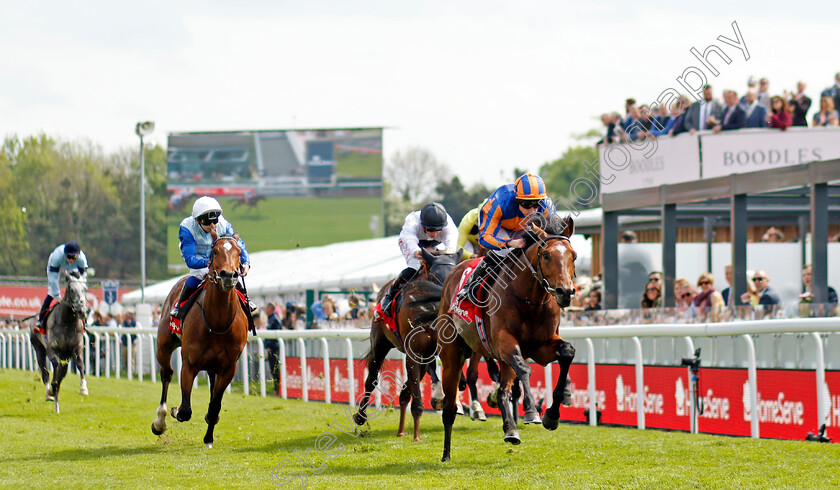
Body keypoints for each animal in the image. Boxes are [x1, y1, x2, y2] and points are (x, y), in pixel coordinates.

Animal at [28, 272, 88, 414]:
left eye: (85, 289)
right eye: (72, 290)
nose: (82, 311)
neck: (67, 323)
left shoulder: (76, 348)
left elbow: (80, 365)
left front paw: (83, 388)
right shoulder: (52, 350)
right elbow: (55, 367)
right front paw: (52, 389)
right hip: (39, 348)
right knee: (45, 372)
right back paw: (50, 394)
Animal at [153, 233, 249, 448]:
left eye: (239, 251)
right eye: (215, 251)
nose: (229, 276)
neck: (218, 323)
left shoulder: (228, 367)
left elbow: (214, 407)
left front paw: (209, 438)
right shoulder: (189, 363)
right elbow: (185, 410)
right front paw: (174, 411)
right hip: (164, 345)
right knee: (166, 373)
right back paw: (160, 420)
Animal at [352, 247, 462, 442]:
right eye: (435, 276)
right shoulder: (414, 353)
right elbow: (416, 397)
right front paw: (417, 435)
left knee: (404, 392)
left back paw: (401, 430)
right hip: (380, 344)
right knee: (371, 380)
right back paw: (360, 416)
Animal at [434, 216, 576, 462]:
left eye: (573, 255)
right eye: (546, 255)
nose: (565, 292)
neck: (530, 299)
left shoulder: (541, 347)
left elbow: (567, 352)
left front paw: (551, 415)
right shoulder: (505, 343)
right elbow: (524, 370)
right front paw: (532, 411)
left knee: (503, 391)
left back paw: (510, 429)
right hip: (453, 356)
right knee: (450, 407)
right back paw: (446, 454)